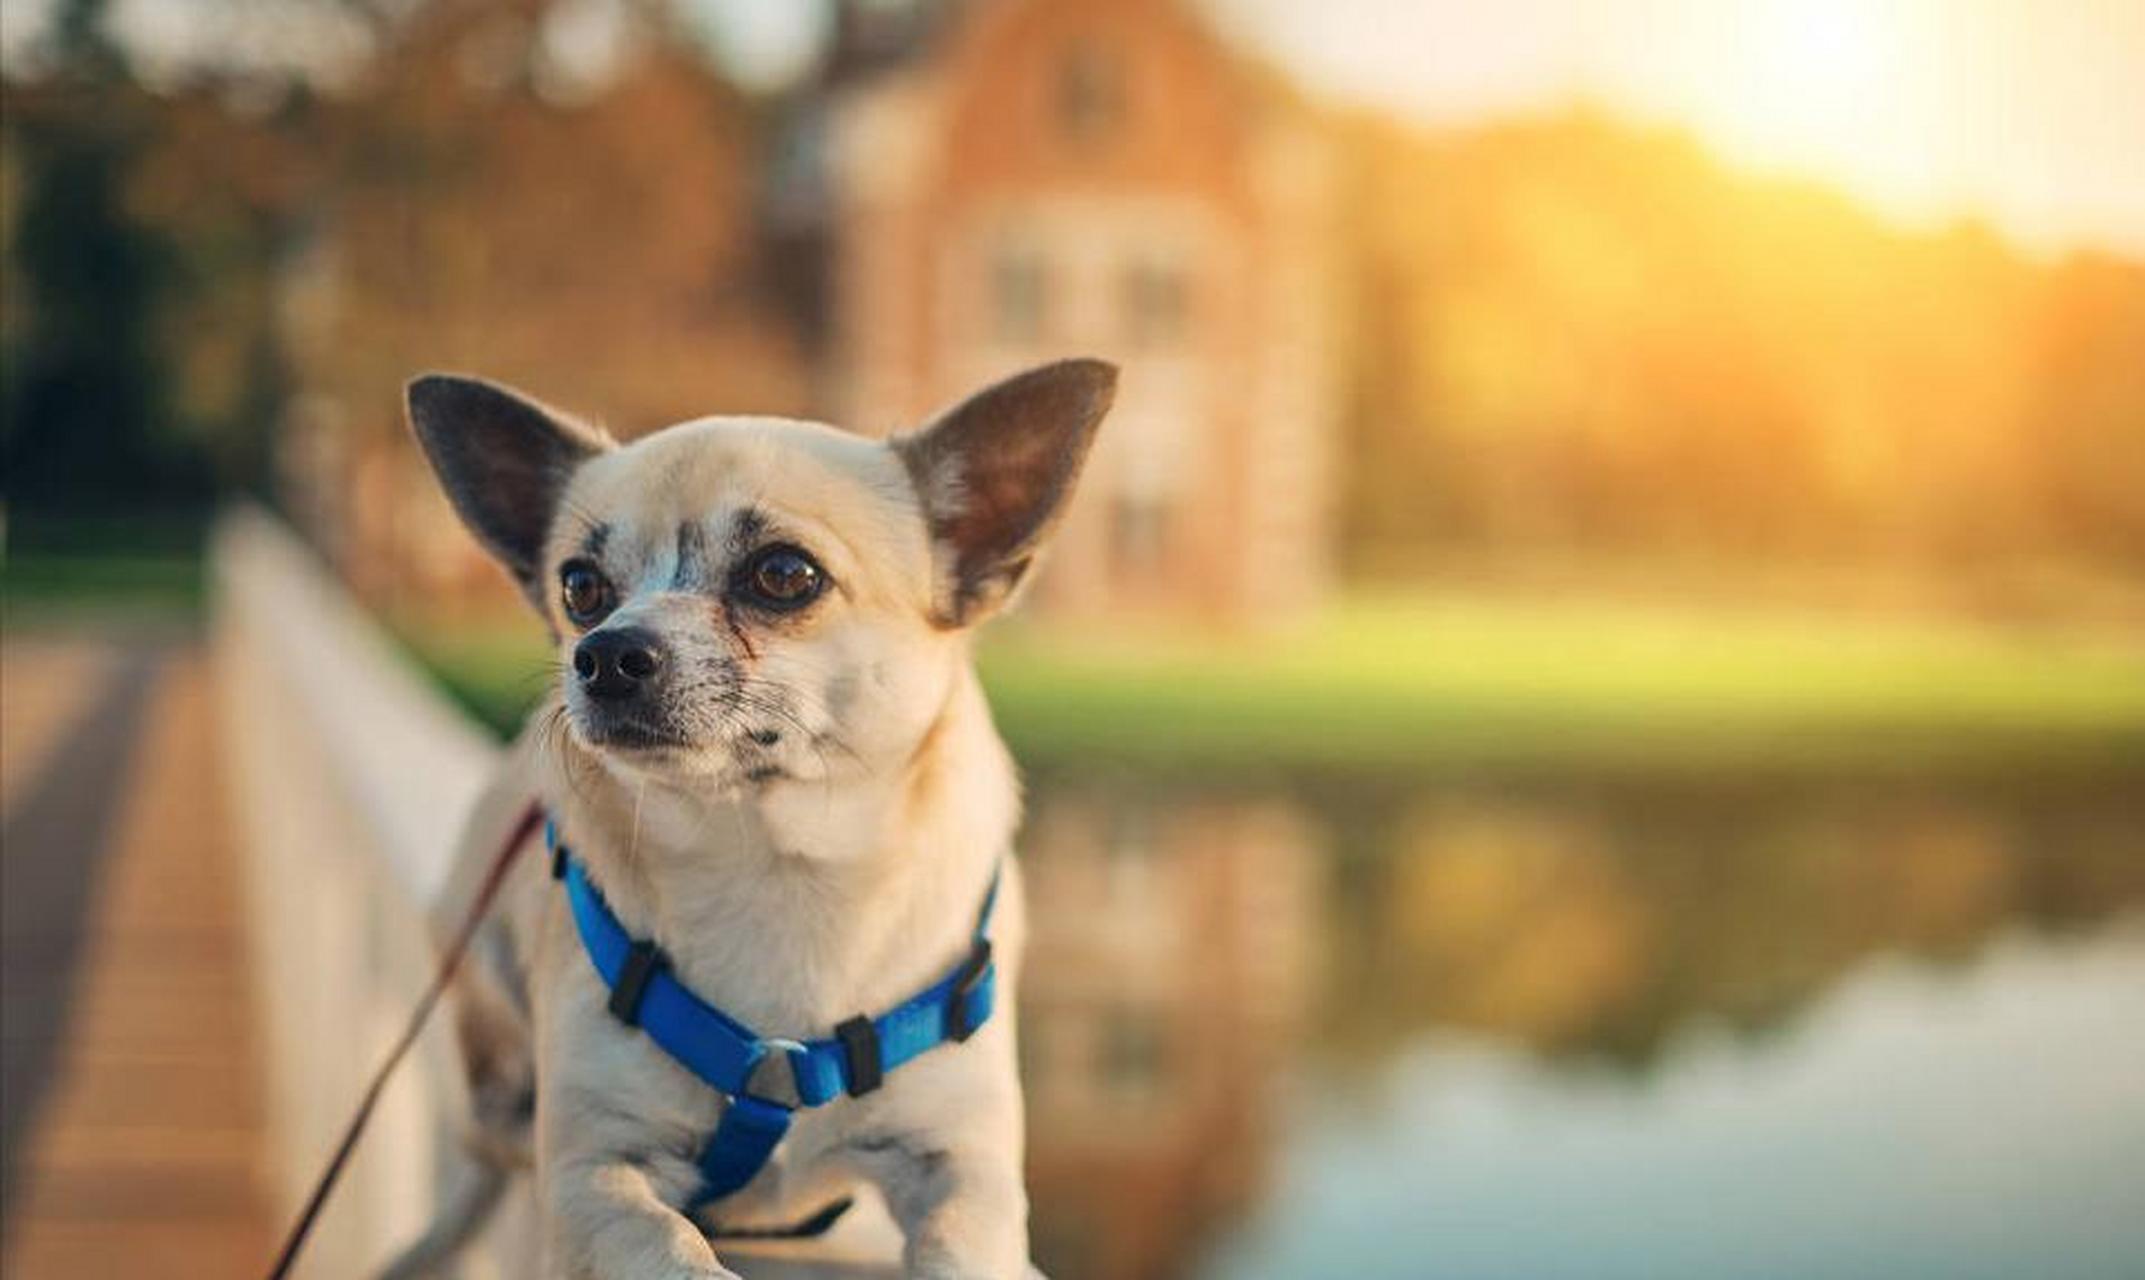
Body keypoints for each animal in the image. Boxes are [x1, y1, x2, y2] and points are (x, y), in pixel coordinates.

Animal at [390, 360, 1123, 1277]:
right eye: (579, 587)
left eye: (783, 574)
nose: (605, 653)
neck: (776, 872)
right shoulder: (591, 1178)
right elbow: (668, 1245)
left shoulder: (960, 1159)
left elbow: (966, 1247)